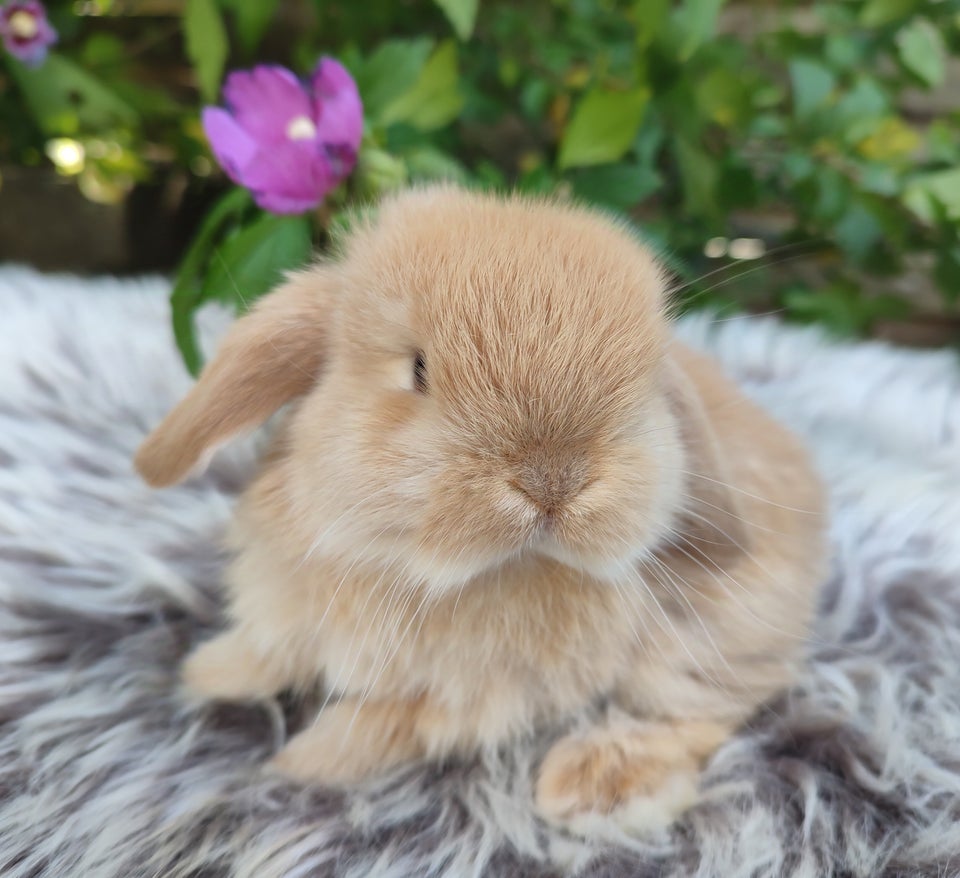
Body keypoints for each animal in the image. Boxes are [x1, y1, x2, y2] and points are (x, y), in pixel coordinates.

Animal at [135, 187, 824, 832]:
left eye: (645, 388)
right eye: (418, 370)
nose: (554, 480)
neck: (408, 573)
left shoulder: (461, 703)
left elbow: (381, 724)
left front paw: (301, 762)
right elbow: (269, 650)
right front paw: (208, 672)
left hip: (706, 640)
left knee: (708, 709)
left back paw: (592, 782)